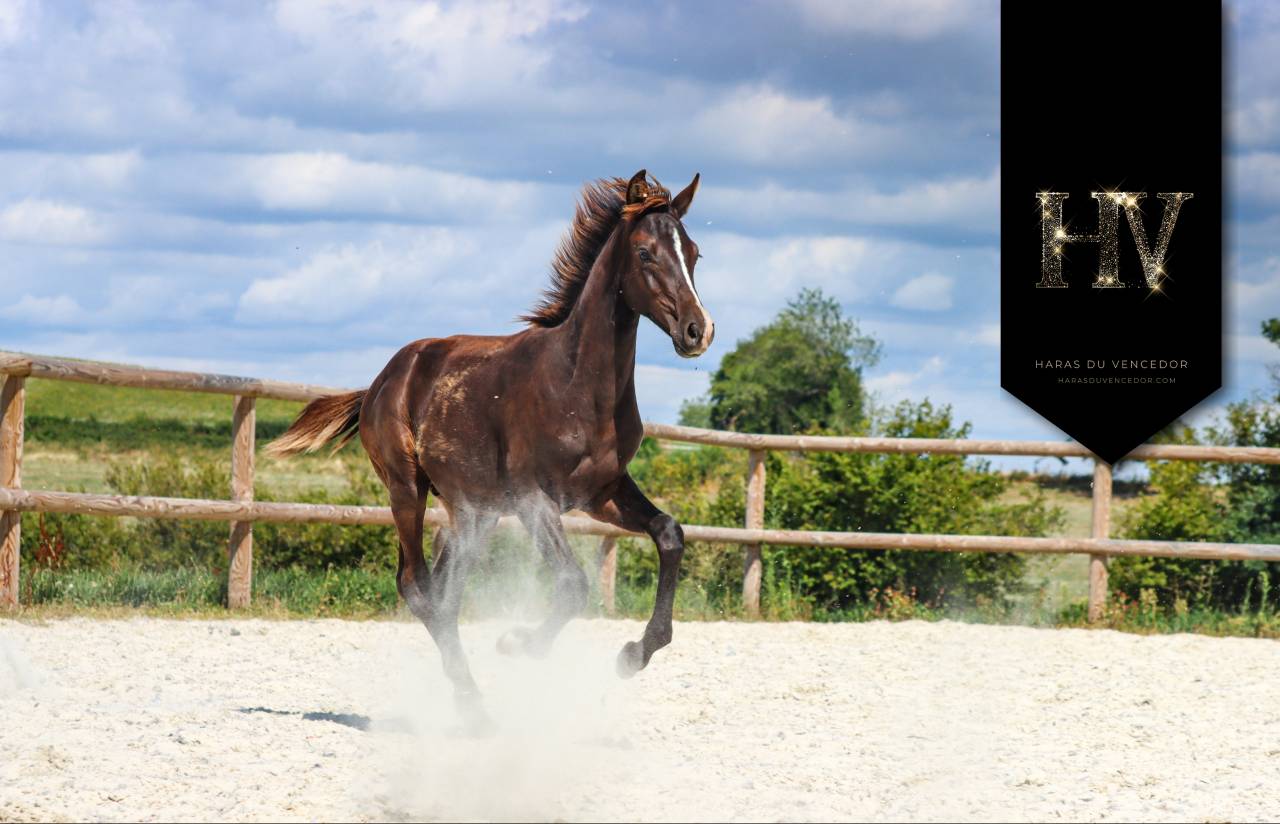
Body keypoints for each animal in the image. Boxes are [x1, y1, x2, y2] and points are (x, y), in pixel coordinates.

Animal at [266, 169, 713, 728]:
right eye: (646, 253)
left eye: (694, 252)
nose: (698, 331)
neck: (575, 384)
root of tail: (382, 380)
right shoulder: (533, 499)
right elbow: (572, 583)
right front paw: (516, 643)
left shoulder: (602, 491)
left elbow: (670, 534)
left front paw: (633, 654)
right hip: (407, 490)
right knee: (416, 585)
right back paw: (473, 702)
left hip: (473, 511)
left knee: (444, 590)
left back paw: (465, 697)